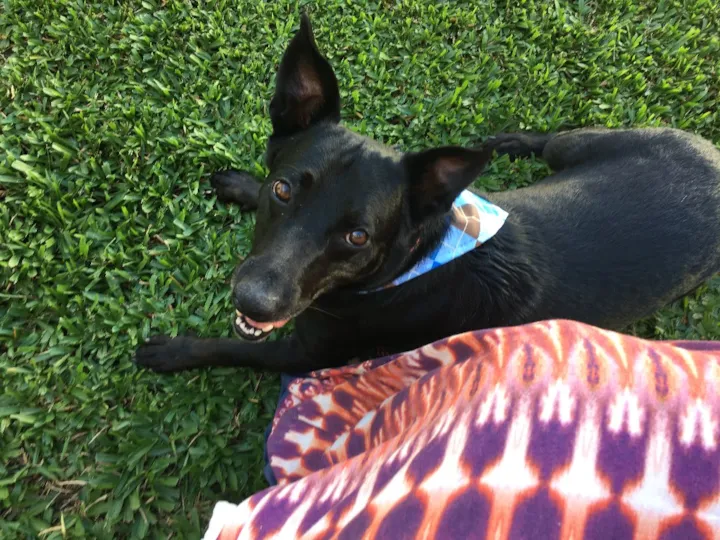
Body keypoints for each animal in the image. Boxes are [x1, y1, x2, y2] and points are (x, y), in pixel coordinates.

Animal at [135, 14, 720, 374]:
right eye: (281, 189)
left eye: (358, 236)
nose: (253, 299)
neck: (417, 259)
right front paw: (241, 184)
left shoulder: (305, 356)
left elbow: (232, 347)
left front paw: (173, 351)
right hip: (581, 146)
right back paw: (509, 142)